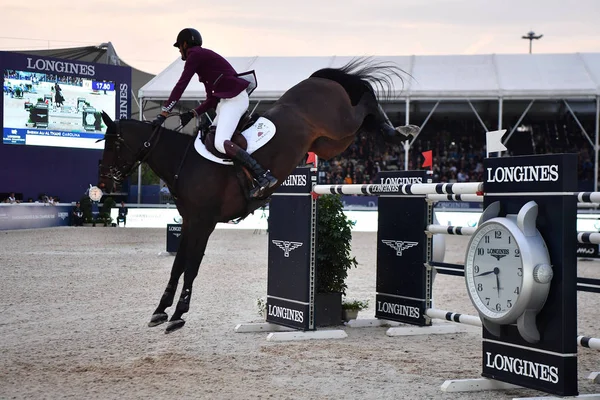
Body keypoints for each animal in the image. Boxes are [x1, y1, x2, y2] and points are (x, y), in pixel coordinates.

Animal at [99, 58, 418, 334]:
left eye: (112, 145)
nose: (103, 183)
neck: (185, 162)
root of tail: (315, 80)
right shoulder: (189, 222)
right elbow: (177, 266)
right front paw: (160, 311)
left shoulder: (203, 223)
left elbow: (191, 268)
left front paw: (178, 316)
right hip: (331, 143)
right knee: (364, 120)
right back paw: (397, 131)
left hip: (339, 123)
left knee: (365, 102)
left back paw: (402, 130)